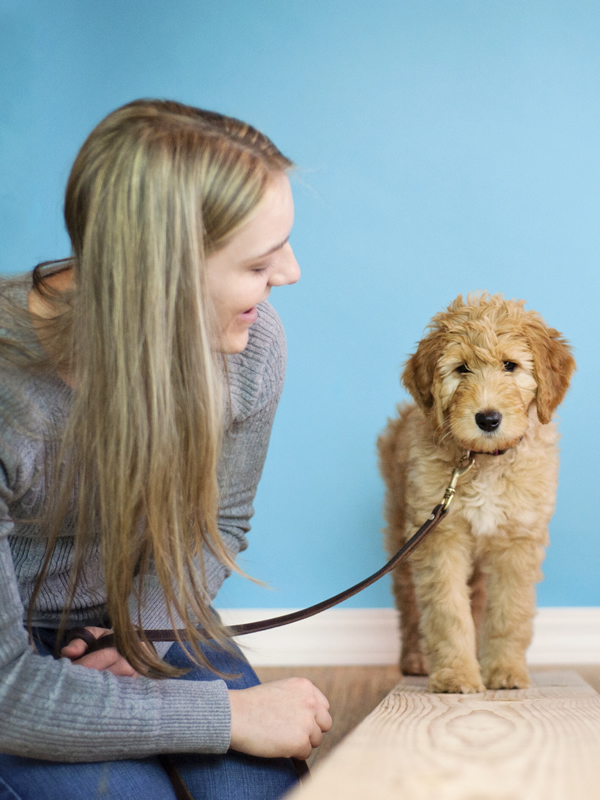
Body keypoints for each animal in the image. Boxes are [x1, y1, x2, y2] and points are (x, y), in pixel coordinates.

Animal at [378, 294, 576, 692]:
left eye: (510, 366)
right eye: (462, 369)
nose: (487, 419)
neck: (483, 461)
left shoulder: (518, 540)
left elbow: (510, 610)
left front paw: (505, 671)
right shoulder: (438, 539)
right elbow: (447, 610)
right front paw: (456, 674)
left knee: (481, 599)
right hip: (401, 536)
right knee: (409, 603)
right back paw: (416, 659)